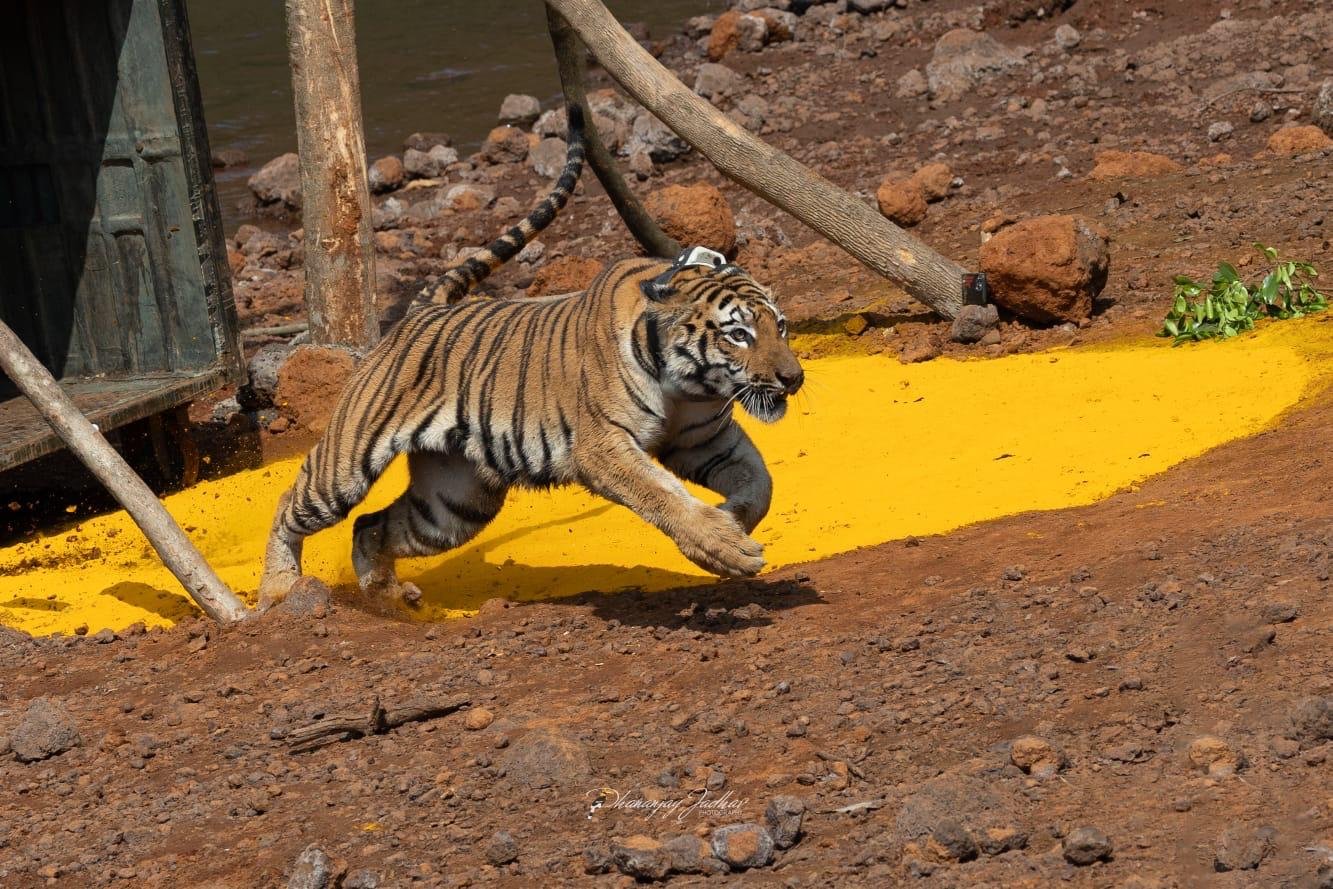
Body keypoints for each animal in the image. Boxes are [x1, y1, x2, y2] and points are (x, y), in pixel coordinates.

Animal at [257, 115, 804, 610]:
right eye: (738, 335)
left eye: (780, 326)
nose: (794, 378)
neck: (689, 386)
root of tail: (422, 310)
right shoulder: (603, 446)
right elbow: (661, 493)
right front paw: (725, 546)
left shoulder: (705, 439)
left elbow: (761, 482)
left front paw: (734, 520)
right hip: (346, 463)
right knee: (290, 505)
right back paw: (279, 591)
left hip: (454, 504)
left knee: (371, 525)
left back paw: (387, 597)